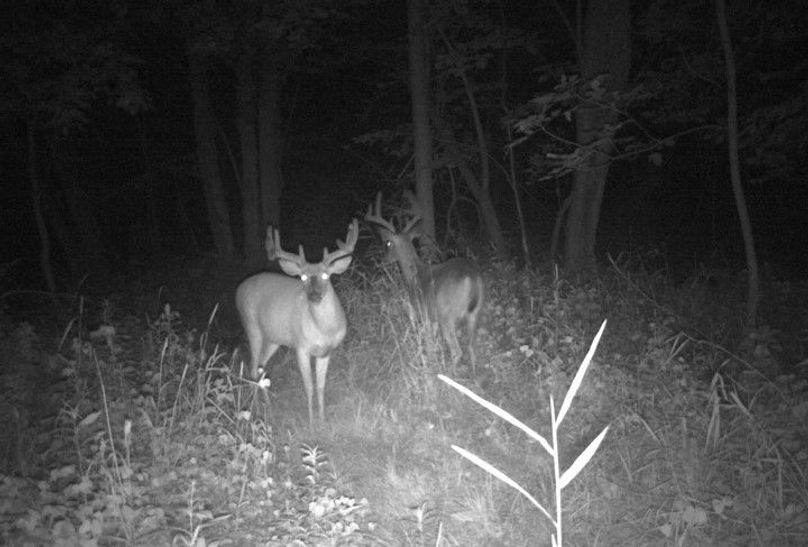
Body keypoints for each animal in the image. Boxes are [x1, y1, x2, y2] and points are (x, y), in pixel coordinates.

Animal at [235, 219, 358, 427]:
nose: (314, 296)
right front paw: (311, 424)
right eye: (303, 277)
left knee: (261, 368)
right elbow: (308, 387)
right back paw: (257, 413)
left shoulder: (327, 352)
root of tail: (239, 289)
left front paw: (323, 420)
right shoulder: (301, 347)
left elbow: (321, 386)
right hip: (251, 327)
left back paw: (269, 410)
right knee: (252, 370)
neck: (325, 330)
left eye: (326, 275)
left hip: (273, 339)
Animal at [365, 192, 484, 372]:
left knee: (457, 351)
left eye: (388, 243)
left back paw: (449, 374)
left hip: (447, 315)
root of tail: (472, 277)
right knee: (472, 347)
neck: (413, 276)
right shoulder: (432, 318)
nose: (382, 260)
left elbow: (426, 342)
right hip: (475, 312)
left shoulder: (420, 312)